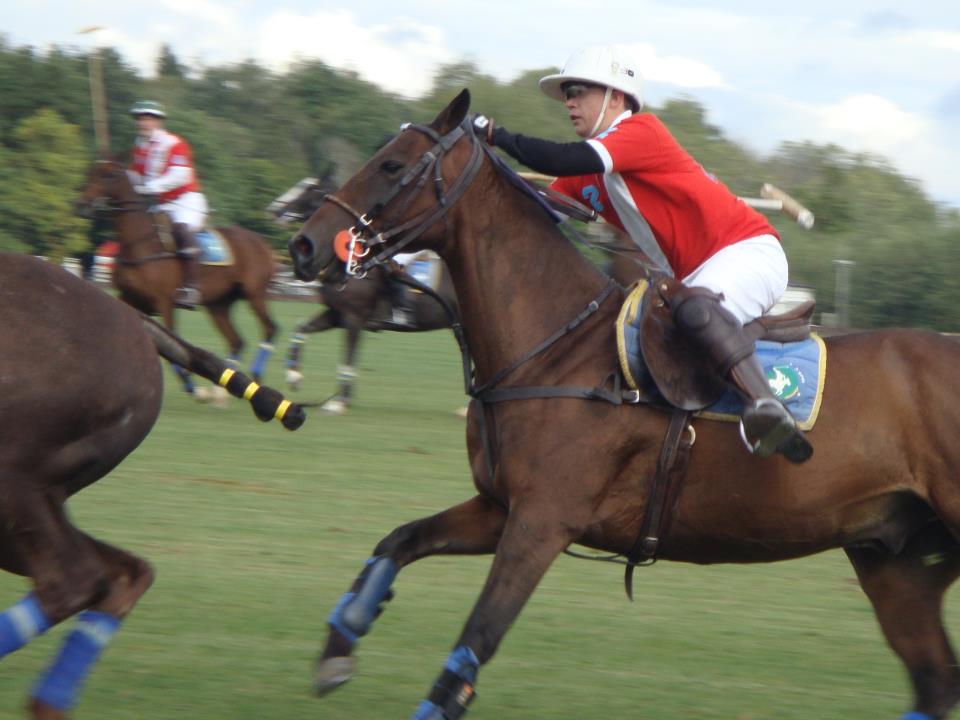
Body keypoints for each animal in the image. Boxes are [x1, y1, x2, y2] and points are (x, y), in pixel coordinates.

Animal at [76, 159, 280, 392]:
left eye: (107, 176)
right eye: (90, 173)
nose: (81, 205)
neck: (140, 244)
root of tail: (262, 243)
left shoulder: (164, 302)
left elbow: (172, 340)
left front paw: (191, 385)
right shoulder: (130, 298)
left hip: (254, 292)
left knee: (270, 328)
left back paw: (255, 375)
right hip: (218, 304)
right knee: (236, 340)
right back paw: (221, 391)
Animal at [270, 178, 458, 413]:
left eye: (308, 190)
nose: (274, 209)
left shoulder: (354, 317)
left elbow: (348, 357)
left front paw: (340, 402)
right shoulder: (337, 314)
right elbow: (302, 329)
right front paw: (294, 376)